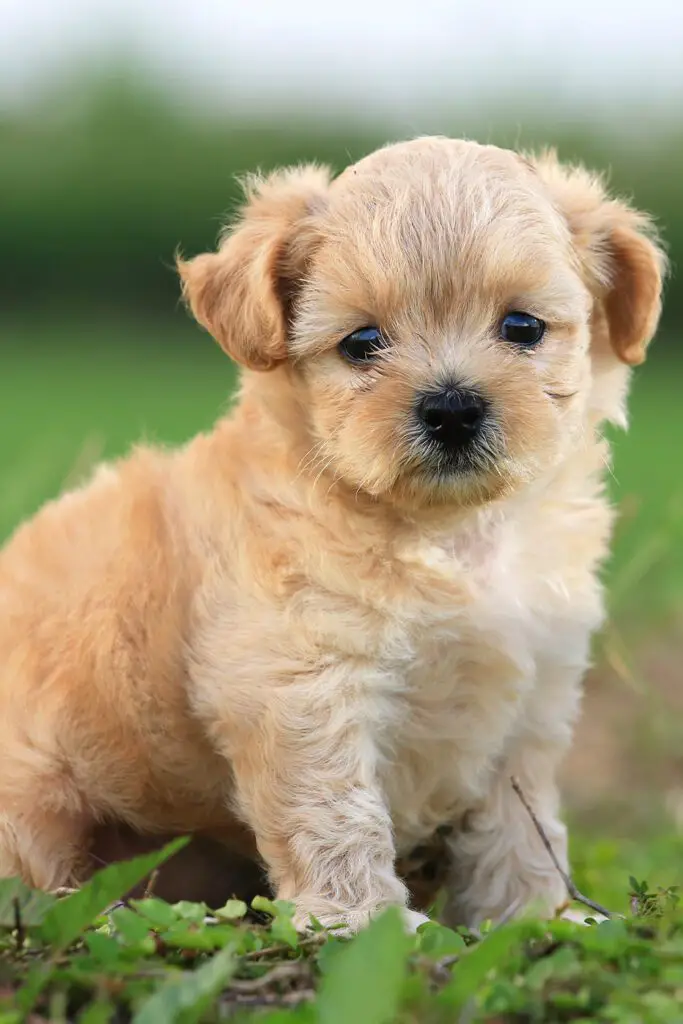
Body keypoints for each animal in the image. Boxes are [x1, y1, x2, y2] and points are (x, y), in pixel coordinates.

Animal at [0, 138, 663, 937]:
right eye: (363, 342)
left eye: (523, 328)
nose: (451, 408)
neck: (450, 535)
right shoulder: (300, 682)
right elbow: (335, 813)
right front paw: (369, 923)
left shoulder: (530, 693)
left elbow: (520, 822)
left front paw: (535, 915)